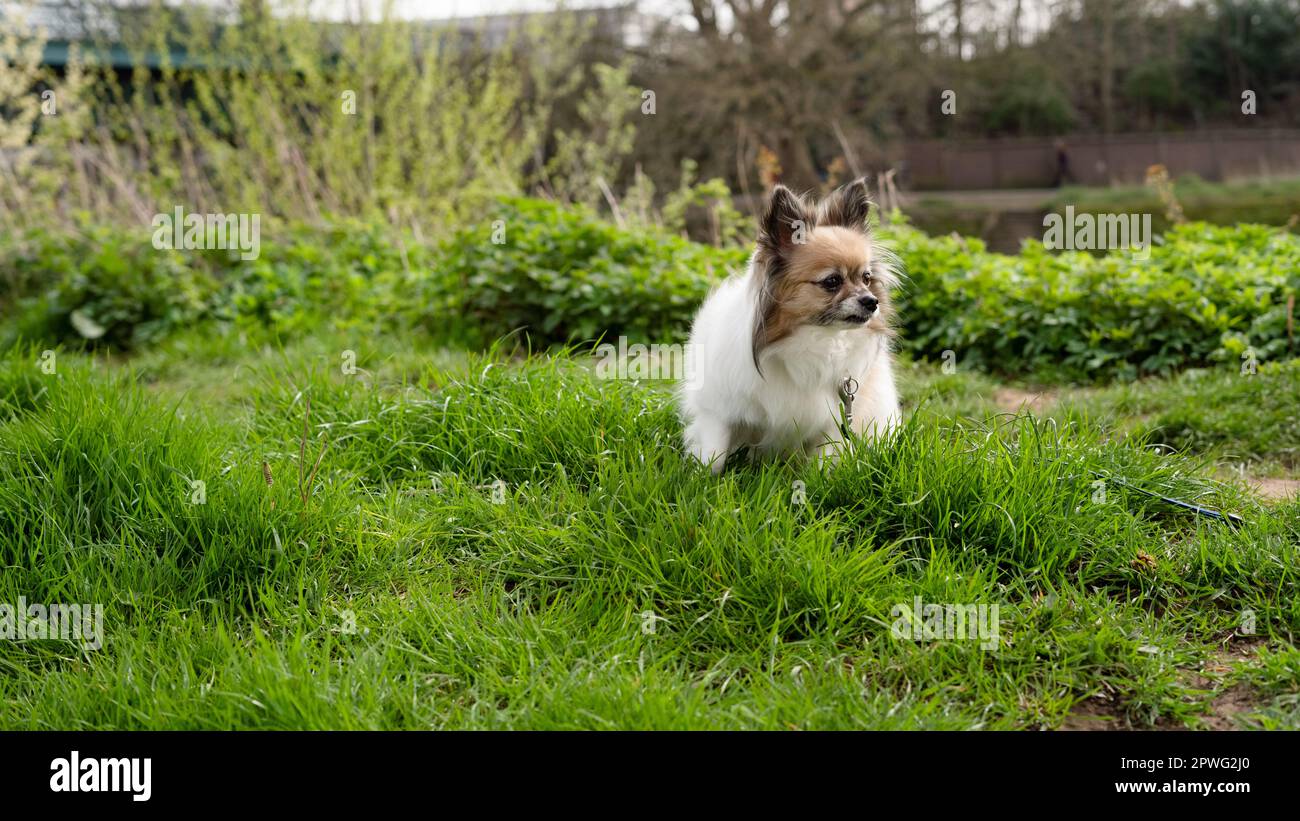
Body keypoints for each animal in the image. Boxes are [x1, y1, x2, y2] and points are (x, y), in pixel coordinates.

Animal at [681, 179, 904, 475]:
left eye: (866, 278)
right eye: (832, 281)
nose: (872, 301)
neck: (812, 339)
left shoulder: (834, 419)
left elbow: (824, 461)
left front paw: (819, 481)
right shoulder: (717, 411)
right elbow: (714, 454)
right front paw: (702, 478)